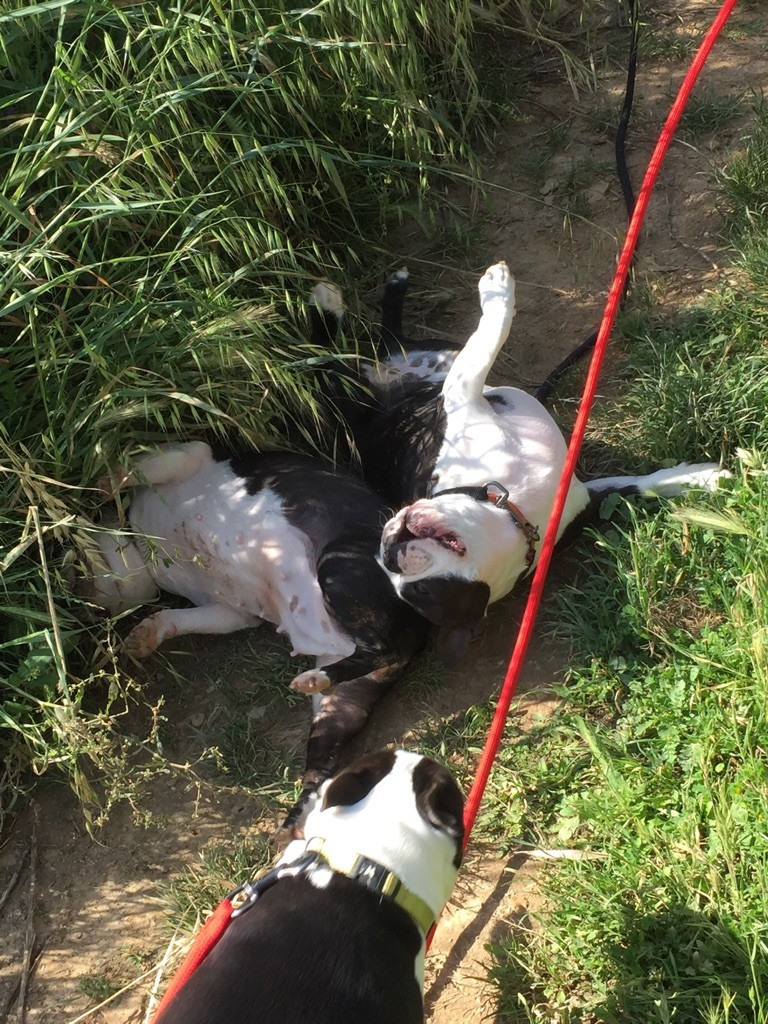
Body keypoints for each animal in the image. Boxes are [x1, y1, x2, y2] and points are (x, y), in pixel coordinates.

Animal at [84, 446, 434, 790]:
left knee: (384, 649)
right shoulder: (227, 611)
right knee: (322, 760)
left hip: (337, 566)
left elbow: (136, 466)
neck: (142, 546)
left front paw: (101, 481)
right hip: (341, 703)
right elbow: (178, 618)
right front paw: (140, 639)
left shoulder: (189, 455)